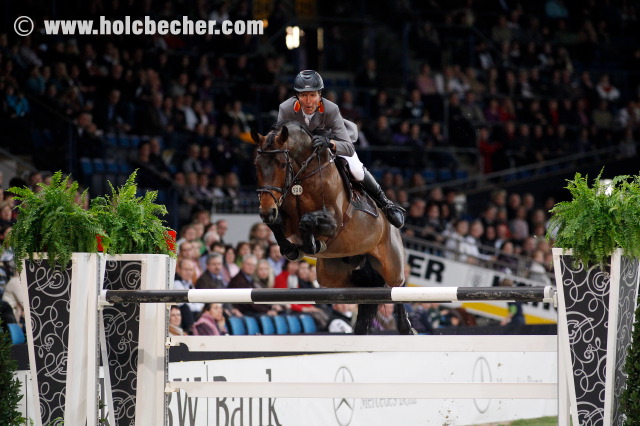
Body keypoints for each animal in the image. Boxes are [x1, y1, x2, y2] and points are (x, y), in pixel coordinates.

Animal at [251, 120, 413, 335]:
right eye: (256, 165)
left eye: (282, 164)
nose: (266, 211)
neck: (302, 178)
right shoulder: (286, 221)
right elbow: (278, 225)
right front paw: (293, 249)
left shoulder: (334, 223)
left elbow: (307, 220)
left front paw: (312, 244)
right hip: (332, 276)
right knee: (363, 290)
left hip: (391, 263)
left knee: (398, 285)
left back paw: (406, 328)